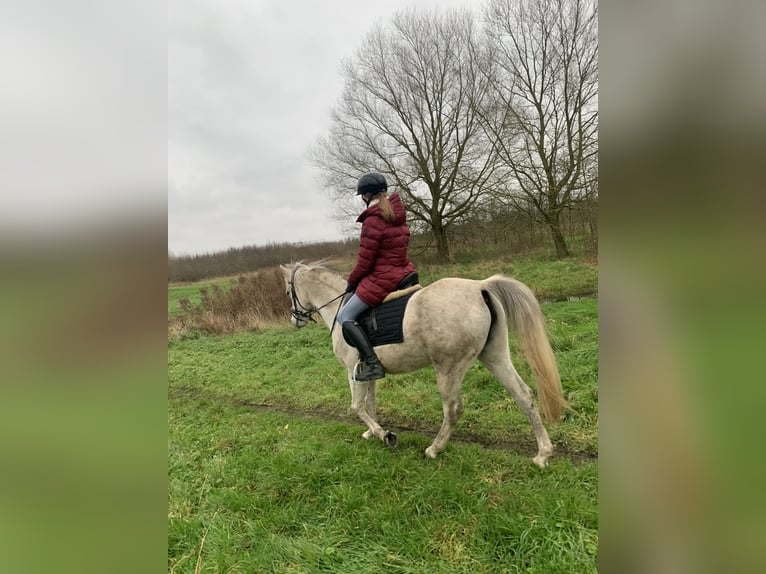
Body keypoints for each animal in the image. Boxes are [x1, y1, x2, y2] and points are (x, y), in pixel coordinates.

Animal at [280, 262, 568, 467]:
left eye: (287, 291)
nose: (295, 321)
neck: (339, 311)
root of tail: (479, 287)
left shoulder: (352, 371)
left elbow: (356, 407)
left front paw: (385, 435)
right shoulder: (367, 372)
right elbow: (370, 404)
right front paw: (373, 432)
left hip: (448, 367)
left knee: (453, 408)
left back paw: (434, 449)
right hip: (495, 357)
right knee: (523, 395)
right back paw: (543, 454)